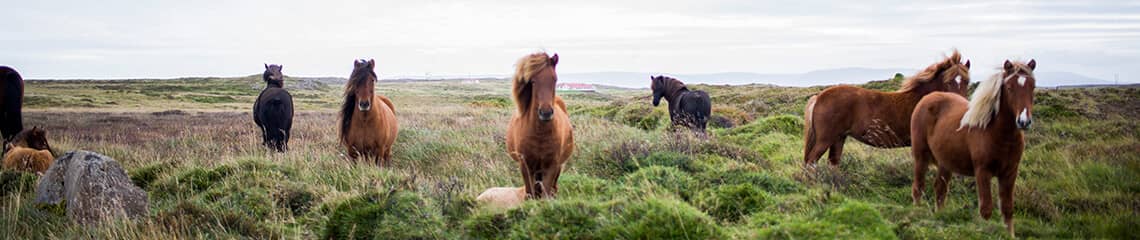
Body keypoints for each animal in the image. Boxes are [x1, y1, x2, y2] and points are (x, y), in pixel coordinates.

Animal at [508, 52, 574, 199]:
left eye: (554, 79)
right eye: (533, 81)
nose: (546, 113)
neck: (539, 134)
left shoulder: (551, 166)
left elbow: (546, 194)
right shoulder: (526, 166)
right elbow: (530, 194)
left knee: (553, 188)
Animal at [802, 50, 971, 167]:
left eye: (967, 81)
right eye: (948, 82)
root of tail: (819, 97)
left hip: (839, 138)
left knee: (832, 163)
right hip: (825, 139)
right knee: (811, 161)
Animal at [912, 59, 1039, 236]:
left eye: (1032, 86)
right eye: (1009, 87)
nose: (1024, 122)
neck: (999, 134)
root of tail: (926, 99)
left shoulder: (1010, 173)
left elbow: (1007, 209)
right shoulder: (982, 172)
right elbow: (986, 209)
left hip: (945, 163)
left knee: (940, 189)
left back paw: (940, 216)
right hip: (920, 158)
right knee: (918, 187)